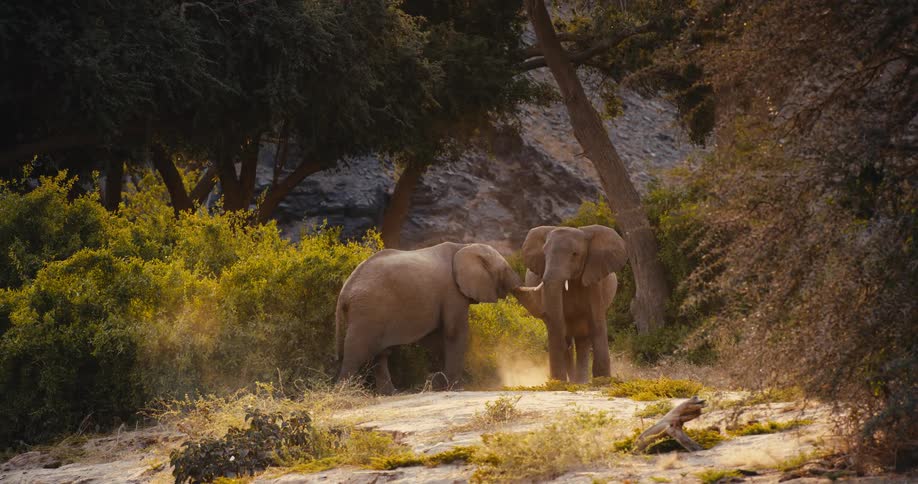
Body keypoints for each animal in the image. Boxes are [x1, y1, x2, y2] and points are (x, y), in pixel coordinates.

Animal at [335, 242, 523, 394]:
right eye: (505, 270)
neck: (463, 246)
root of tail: (344, 291)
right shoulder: (452, 292)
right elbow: (454, 332)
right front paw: (456, 388)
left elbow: (436, 338)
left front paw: (440, 382)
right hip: (367, 311)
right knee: (357, 350)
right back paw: (346, 392)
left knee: (380, 354)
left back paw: (391, 393)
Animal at [512, 225, 628, 383]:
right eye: (544, 253)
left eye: (575, 254)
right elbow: (558, 327)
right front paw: (559, 382)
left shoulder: (594, 280)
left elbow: (597, 324)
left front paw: (603, 380)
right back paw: (575, 381)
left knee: (583, 339)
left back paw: (581, 381)